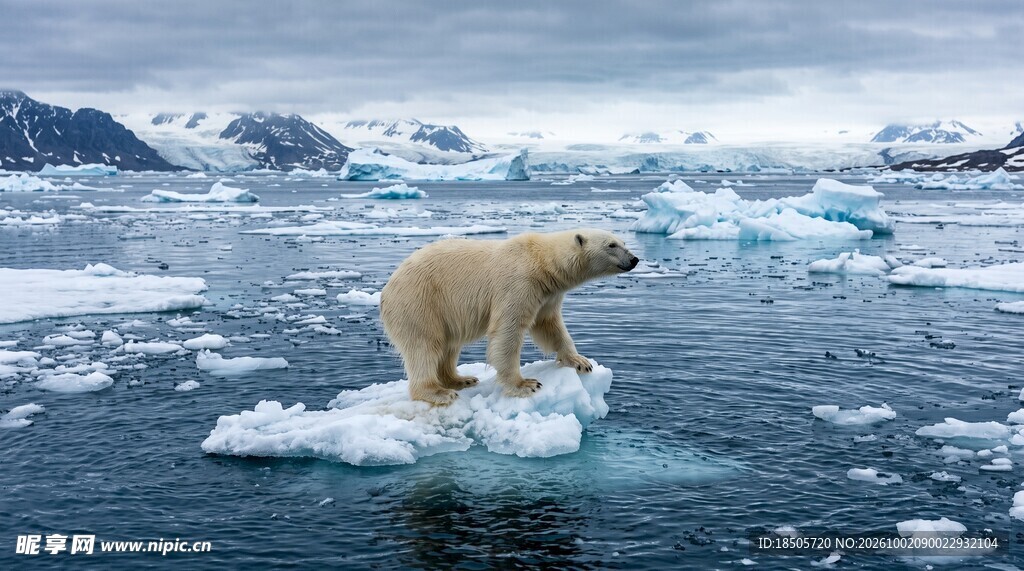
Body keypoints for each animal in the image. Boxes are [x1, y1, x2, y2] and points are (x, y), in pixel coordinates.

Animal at [380, 228, 639, 405]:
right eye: (611, 245)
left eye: (623, 242)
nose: (634, 259)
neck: (541, 261)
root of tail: (388, 288)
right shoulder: (518, 283)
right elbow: (508, 331)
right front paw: (525, 384)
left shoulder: (547, 294)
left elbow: (550, 326)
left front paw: (580, 361)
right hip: (419, 302)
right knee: (424, 346)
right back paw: (438, 392)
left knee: (448, 345)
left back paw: (461, 379)